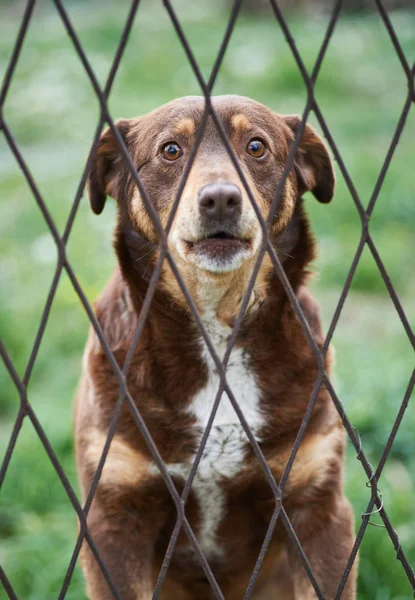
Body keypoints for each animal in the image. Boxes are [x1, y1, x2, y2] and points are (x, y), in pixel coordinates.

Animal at [75, 96, 358, 596]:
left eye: (256, 146)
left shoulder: (318, 510)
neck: (217, 327)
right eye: (171, 150)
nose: (221, 198)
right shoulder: (113, 517)